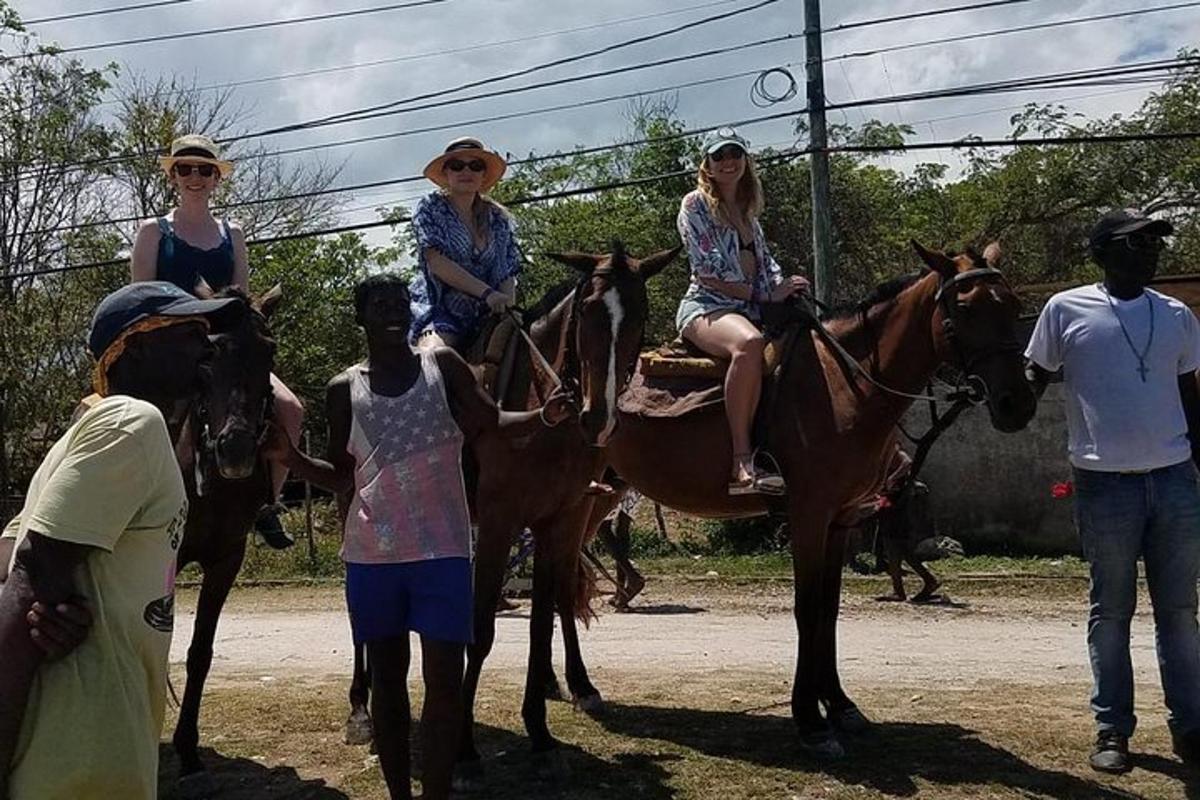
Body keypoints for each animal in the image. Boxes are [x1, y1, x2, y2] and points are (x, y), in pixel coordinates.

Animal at [451, 241, 676, 786]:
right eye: (586, 312)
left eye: (639, 315)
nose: (598, 417)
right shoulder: (498, 524)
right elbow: (482, 630)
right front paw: (463, 750)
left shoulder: (561, 520)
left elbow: (541, 622)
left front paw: (539, 730)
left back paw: (576, 683)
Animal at [532, 242, 1032, 758]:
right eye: (966, 308)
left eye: (1013, 305)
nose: (1018, 402)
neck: (844, 385)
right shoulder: (808, 516)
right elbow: (806, 609)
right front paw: (810, 720)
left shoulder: (841, 521)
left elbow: (829, 610)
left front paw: (842, 706)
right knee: (559, 578)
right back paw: (576, 684)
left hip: (598, 499)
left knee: (563, 576)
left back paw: (563, 683)